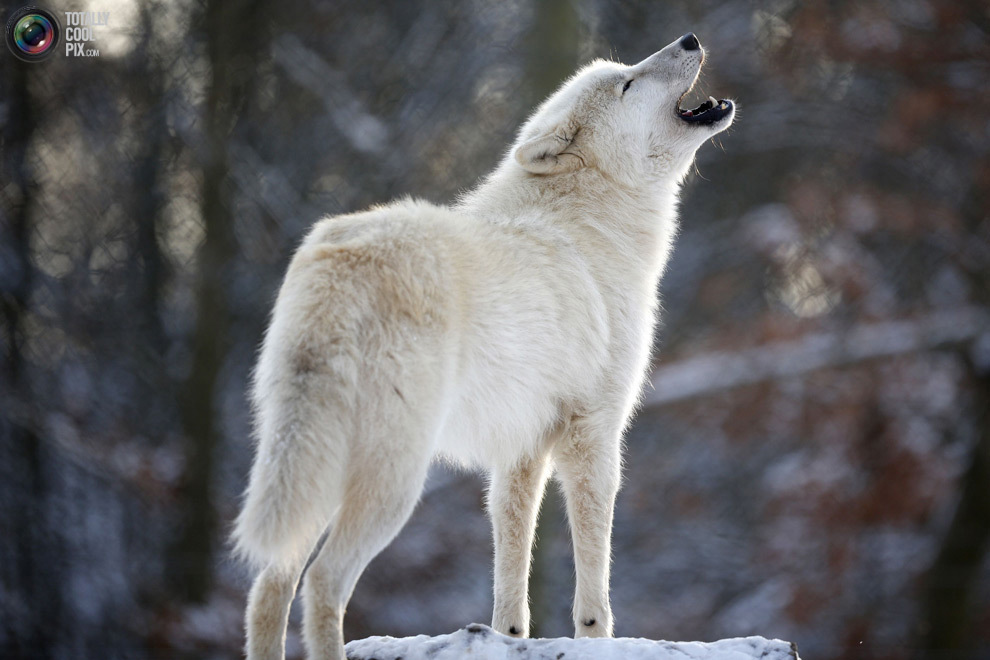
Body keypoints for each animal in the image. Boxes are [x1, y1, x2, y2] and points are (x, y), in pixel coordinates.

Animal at [236, 29, 736, 660]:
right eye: (628, 83)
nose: (690, 38)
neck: (591, 222)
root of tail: (340, 260)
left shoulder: (521, 448)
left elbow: (511, 560)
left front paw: (507, 636)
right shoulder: (593, 434)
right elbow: (594, 574)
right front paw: (596, 637)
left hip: (316, 468)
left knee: (268, 586)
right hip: (394, 481)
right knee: (322, 582)